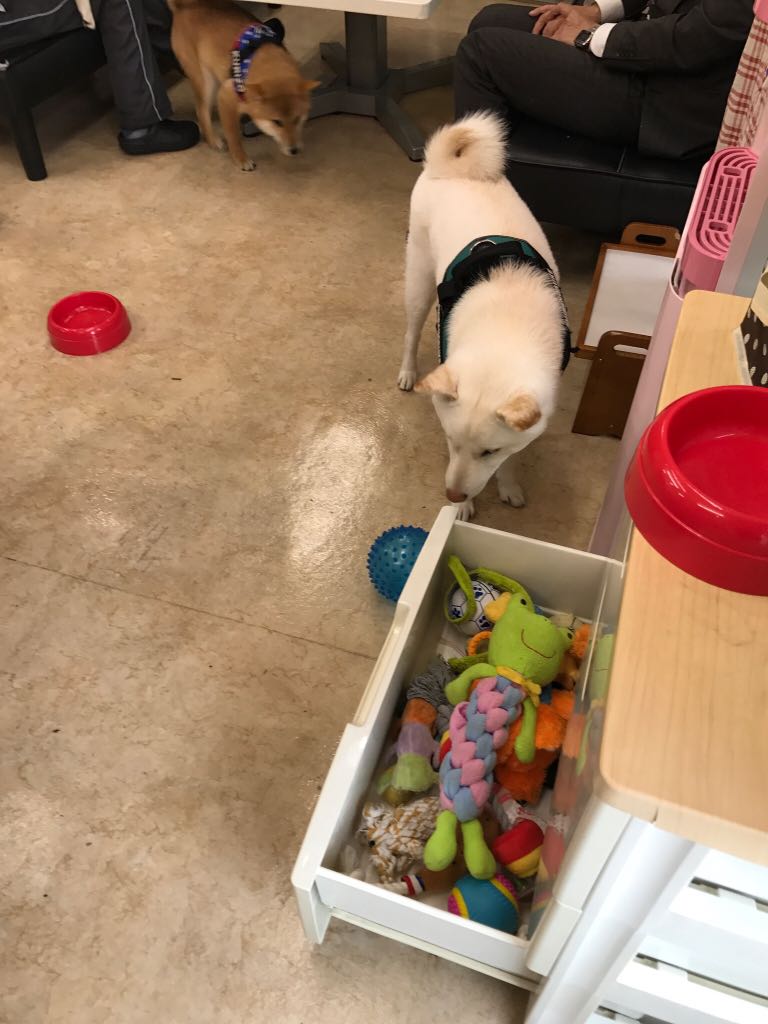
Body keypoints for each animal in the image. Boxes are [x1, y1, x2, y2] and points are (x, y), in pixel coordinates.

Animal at [168, 0, 318, 169]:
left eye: (297, 119)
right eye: (277, 122)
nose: (294, 150)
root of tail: (184, 7)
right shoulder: (225, 97)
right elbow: (233, 136)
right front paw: (241, 159)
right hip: (205, 80)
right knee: (201, 110)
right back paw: (213, 140)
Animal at [398, 112, 569, 521]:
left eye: (490, 451)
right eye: (449, 440)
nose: (452, 494)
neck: (504, 329)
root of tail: (448, 168)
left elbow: (513, 458)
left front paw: (507, 485)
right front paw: (463, 507)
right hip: (419, 282)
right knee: (411, 332)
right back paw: (408, 372)